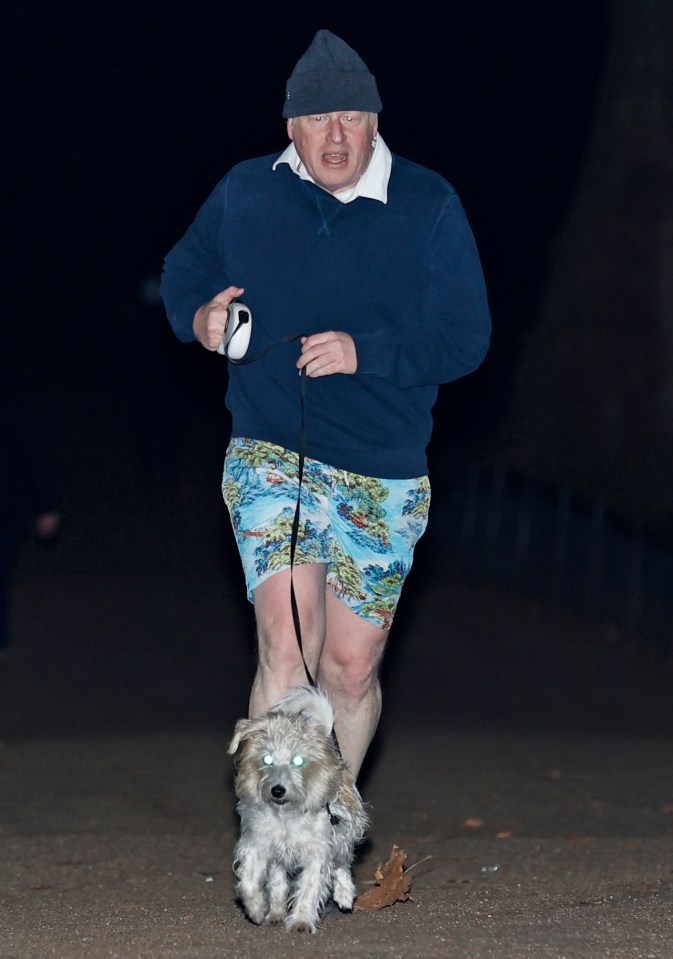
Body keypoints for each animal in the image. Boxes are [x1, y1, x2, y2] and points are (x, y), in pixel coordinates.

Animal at [230, 688, 368, 932]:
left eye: (298, 761)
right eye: (267, 759)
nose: (277, 790)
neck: (286, 814)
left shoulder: (317, 851)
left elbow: (309, 889)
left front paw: (301, 921)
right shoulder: (258, 844)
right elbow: (248, 882)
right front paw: (257, 909)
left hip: (342, 830)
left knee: (342, 863)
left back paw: (344, 894)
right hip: (280, 858)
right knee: (278, 884)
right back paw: (275, 913)